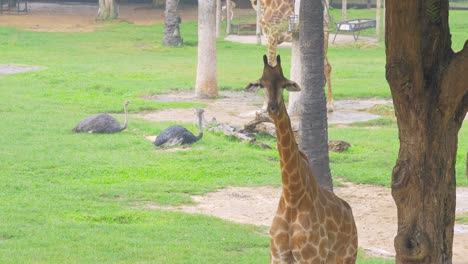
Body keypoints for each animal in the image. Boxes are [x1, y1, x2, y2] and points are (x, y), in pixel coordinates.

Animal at [247, 54, 356, 262]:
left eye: (284, 84)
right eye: (262, 84)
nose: (272, 108)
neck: (292, 197)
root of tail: (351, 216)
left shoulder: (310, 258)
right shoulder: (277, 256)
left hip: (347, 257)